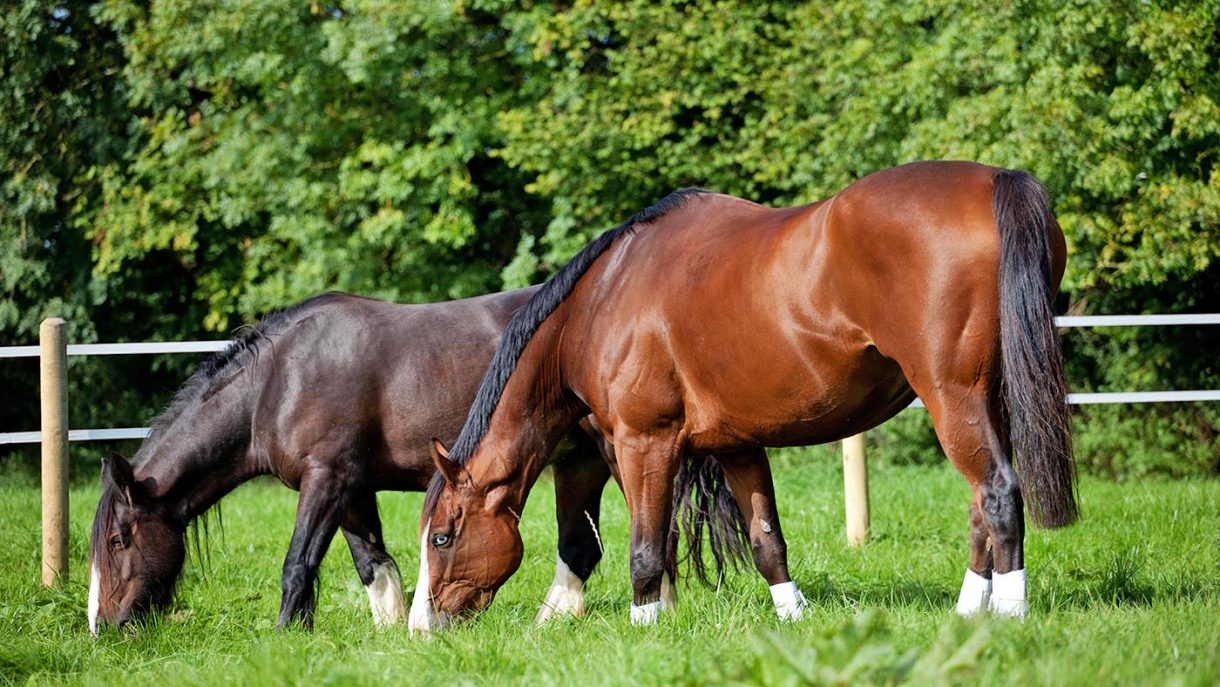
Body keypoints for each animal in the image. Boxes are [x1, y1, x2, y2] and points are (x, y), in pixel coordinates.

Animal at [87, 288, 748, 634]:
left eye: (118, 540)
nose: (102, 626)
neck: (279, 379)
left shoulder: (325, 481)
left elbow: (298, 564)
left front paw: (282, 636)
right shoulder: (350, 488)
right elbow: (373, 565)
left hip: (617, 448)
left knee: (647, 531)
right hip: (575, 461)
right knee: (588, 544)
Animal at [412, 160, 1077, 630]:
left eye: (443, 535)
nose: (423, 627)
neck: (602, 300)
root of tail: (995, 181)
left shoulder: (643, 443)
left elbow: (646, 547)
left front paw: (647, 624)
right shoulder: (737, 446)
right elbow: (766, 542)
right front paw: (793, 617)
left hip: (952, 396)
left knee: (998, 495)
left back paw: (1009, 615)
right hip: (987, 399)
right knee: (979, 504)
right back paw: (967, 611)